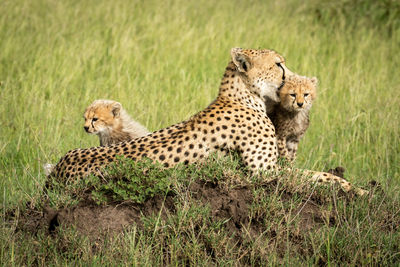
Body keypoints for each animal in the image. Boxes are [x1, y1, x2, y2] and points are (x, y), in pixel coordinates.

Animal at [50, 48, 368, 197]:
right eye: (278, 64)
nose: (289, 76)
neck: (244, 96)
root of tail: (58, 169)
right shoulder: (264, 172)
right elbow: (319, 176)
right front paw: (356, 189)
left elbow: (317, 174)